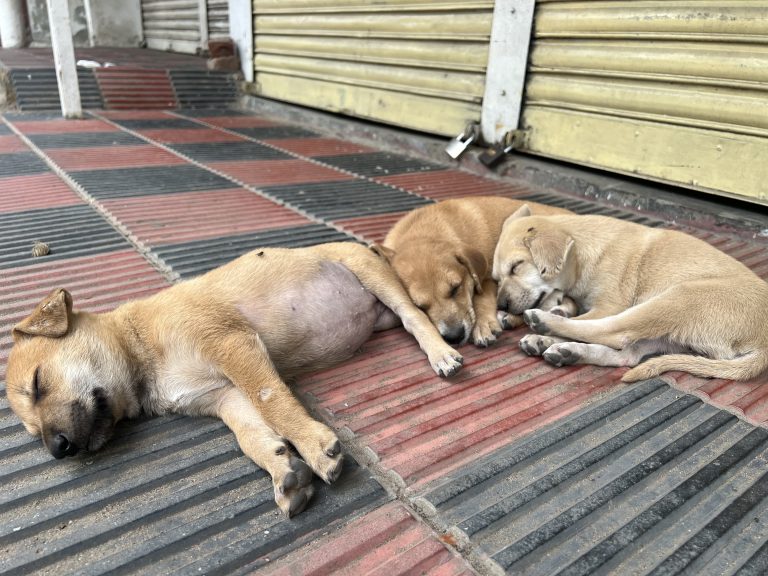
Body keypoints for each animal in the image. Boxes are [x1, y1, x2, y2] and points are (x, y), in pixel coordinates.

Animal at [4, 243, 462, 516]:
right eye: (32, 431)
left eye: (38, 383)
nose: (57, 450)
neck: (139, 349)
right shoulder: (224, 398)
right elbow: (251, 435)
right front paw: (283, 469)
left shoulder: (233, 345)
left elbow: (272, 399)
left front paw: (315, 448)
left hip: (372, 275)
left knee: (415, 316)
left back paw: (441, 353)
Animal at [372, 196, 576, 346]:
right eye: (419, 306)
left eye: (456, 288)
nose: (454, 337)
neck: (423, 230)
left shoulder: (488, 279)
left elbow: (482, 297)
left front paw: (483, 325)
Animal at [492, 207, 768, 382]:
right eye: (496, 279)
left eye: (516, 267)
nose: (502, 305)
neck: (584, 252)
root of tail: (763, 345)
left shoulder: (609, 305)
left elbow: (588, 319)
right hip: (669, 335)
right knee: (628, 355)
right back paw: (567, 351)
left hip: (677, 296)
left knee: (614, 332)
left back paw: (545, 327)